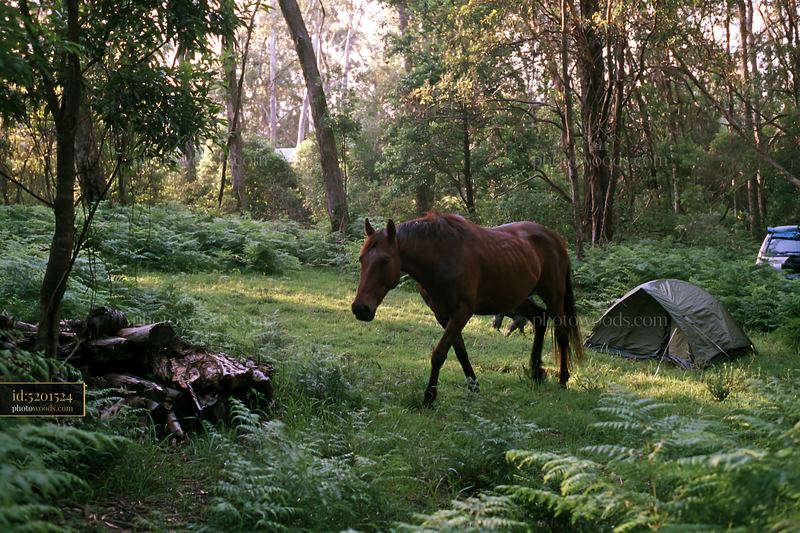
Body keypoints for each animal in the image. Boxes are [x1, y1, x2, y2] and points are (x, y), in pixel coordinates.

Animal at [350, 212, 584, 406]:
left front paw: (429, 397)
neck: (441, 256)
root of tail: (554, 237)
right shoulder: (442, 313)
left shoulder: (463, 311)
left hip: (553, 295)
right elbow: (460, 352)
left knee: (561, 333)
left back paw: (563, 379)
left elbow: (439, 353)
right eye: (362, 259)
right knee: (540, 319)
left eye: (385, 260)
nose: (360, 308)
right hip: (516, 298)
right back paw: (536, 372)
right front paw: (474, 387)